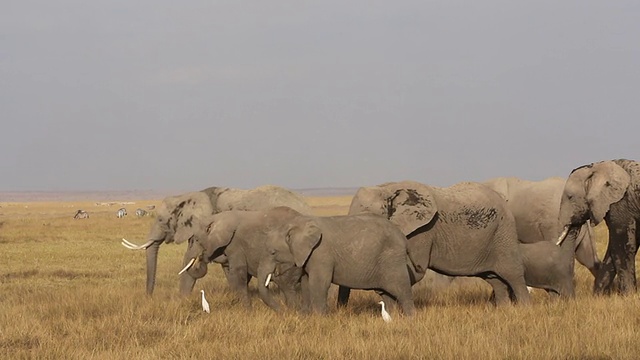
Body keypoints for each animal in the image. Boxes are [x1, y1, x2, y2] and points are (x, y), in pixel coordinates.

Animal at [175, 207, 304, 310]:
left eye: (195, 240)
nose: (184, 301)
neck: (216, 218)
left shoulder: (236, 244)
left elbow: (238, 272)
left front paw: (247, 310)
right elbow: (230, 273)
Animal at [260, 212, 416, 316]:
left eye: (273, 252)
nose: (284, 312)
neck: (297, 225)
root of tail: (404, 238)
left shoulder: (321, 253)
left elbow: (318, 283)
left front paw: (320, 318)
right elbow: (306, 283)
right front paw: (306, 317)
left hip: (392, 260)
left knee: (401, 290)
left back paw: (410, 319)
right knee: (387, 294)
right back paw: (393, 318)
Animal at [344, 180, 528, 306]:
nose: (342, 309)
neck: (387, 188)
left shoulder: (422, 231)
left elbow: (411, 272)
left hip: (504, 232)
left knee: (513, 275)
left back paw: (523, 309)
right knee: (495, 279)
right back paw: (504, 309)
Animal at [556, 159, 640, 294]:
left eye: (570, 197)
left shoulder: (621, 203)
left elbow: (621, 248)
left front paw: (629, 294)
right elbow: (613, 250)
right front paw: (599, 295)